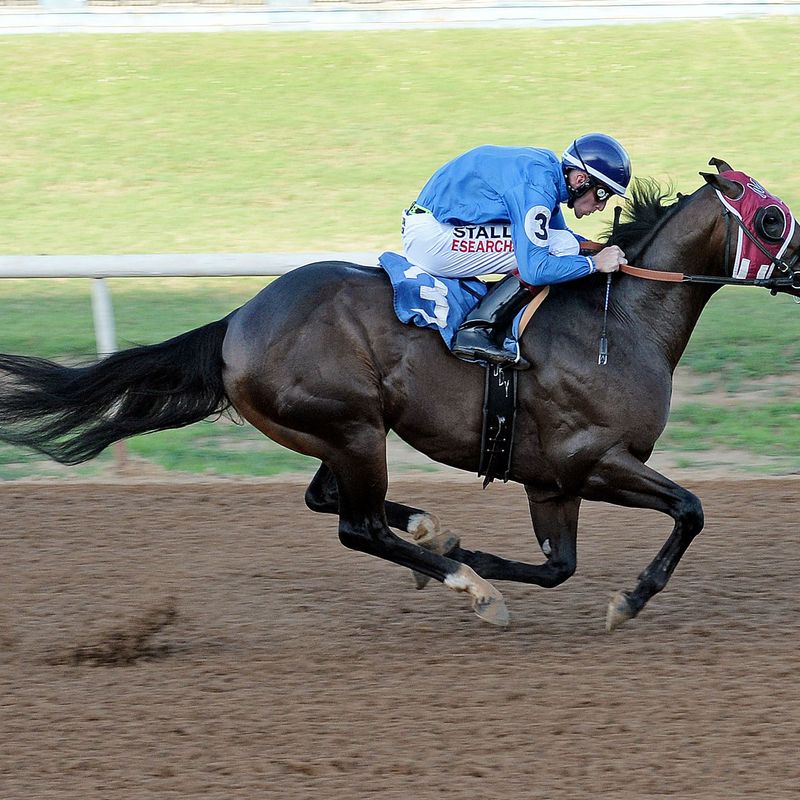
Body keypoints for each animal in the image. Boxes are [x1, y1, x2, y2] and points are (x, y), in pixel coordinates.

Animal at [1, 159, 798, 631]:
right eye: (773, 219)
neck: (621, 319)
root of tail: (236, 321)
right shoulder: (594, 460)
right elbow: (690, 510)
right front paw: (625, 599)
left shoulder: (551, 481)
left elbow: (557, 566)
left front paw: (471, 549)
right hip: (354, 428)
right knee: (355, 526)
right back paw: (463, 581)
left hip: (336, 431)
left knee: (329, 500)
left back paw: (431, 536)